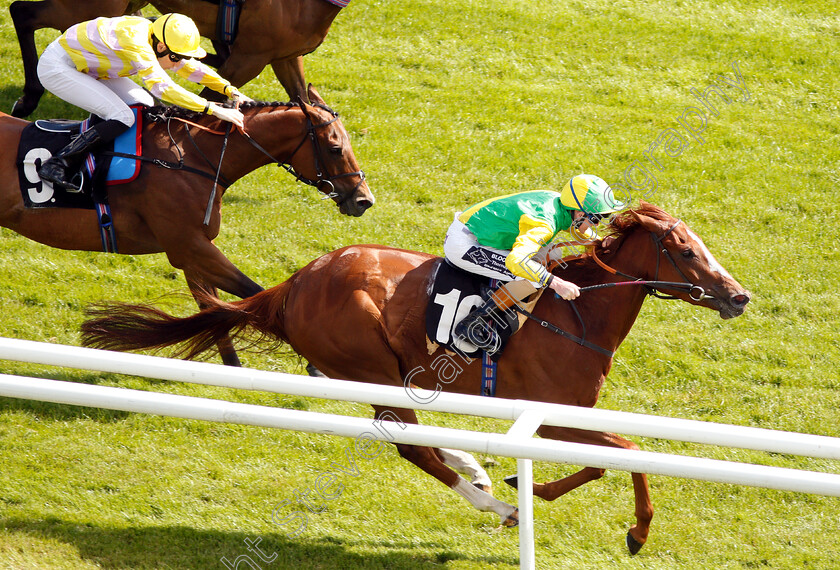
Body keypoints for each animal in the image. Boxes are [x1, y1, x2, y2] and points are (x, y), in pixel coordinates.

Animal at [10, 0, 344, 116]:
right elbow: (211, 97)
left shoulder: (285, 57)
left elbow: (302, 98)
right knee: (22, 12)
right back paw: (28, 98)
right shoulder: (249, 57)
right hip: (88, 7)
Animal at [82, 203, 756, 552]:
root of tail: (294, 284)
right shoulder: (557, 413)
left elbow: (605, 458)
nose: (739, 297)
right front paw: (632, 529)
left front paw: (522, 480)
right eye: (686, 251)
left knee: (416, 437)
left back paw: (478, 469)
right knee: (410, 444)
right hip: (369, 365)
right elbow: (625, 452)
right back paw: (492, 501)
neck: (578, 315)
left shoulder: (564, 414)